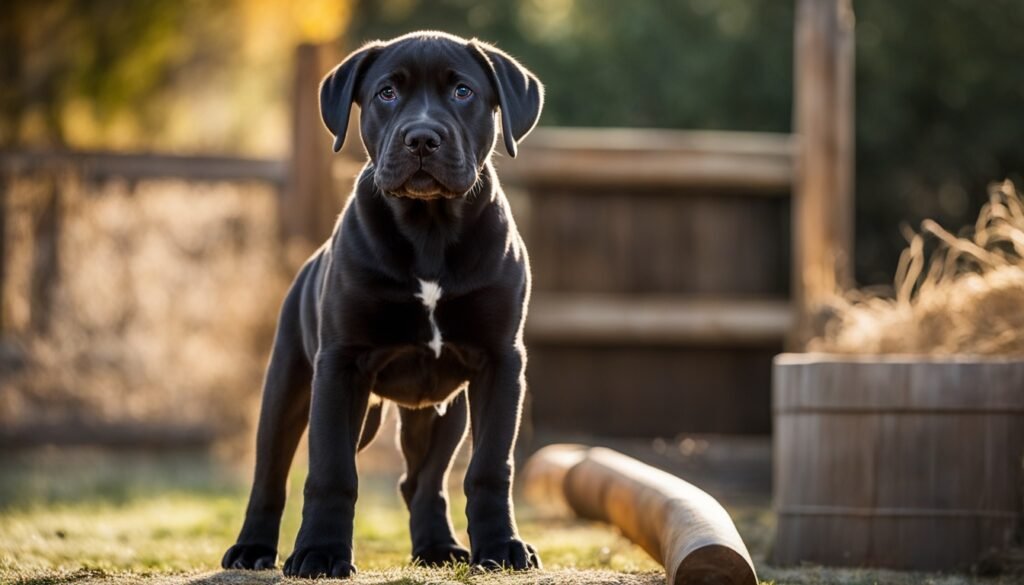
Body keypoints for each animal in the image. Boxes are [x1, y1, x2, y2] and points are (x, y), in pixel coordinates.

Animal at [221, 30, 548, 577]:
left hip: (442, 411)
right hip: (288, 387)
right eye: (387, 94)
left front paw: (501, 548)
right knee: (270, 474)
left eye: (462, 91)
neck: (429, 227)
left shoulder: (500, 363)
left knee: (422, 480)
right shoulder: (341, 365)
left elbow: (489, 468)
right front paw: (321, 552)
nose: (421, 138)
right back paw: (252, 548)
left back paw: (437, 547)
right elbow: (331, 471)